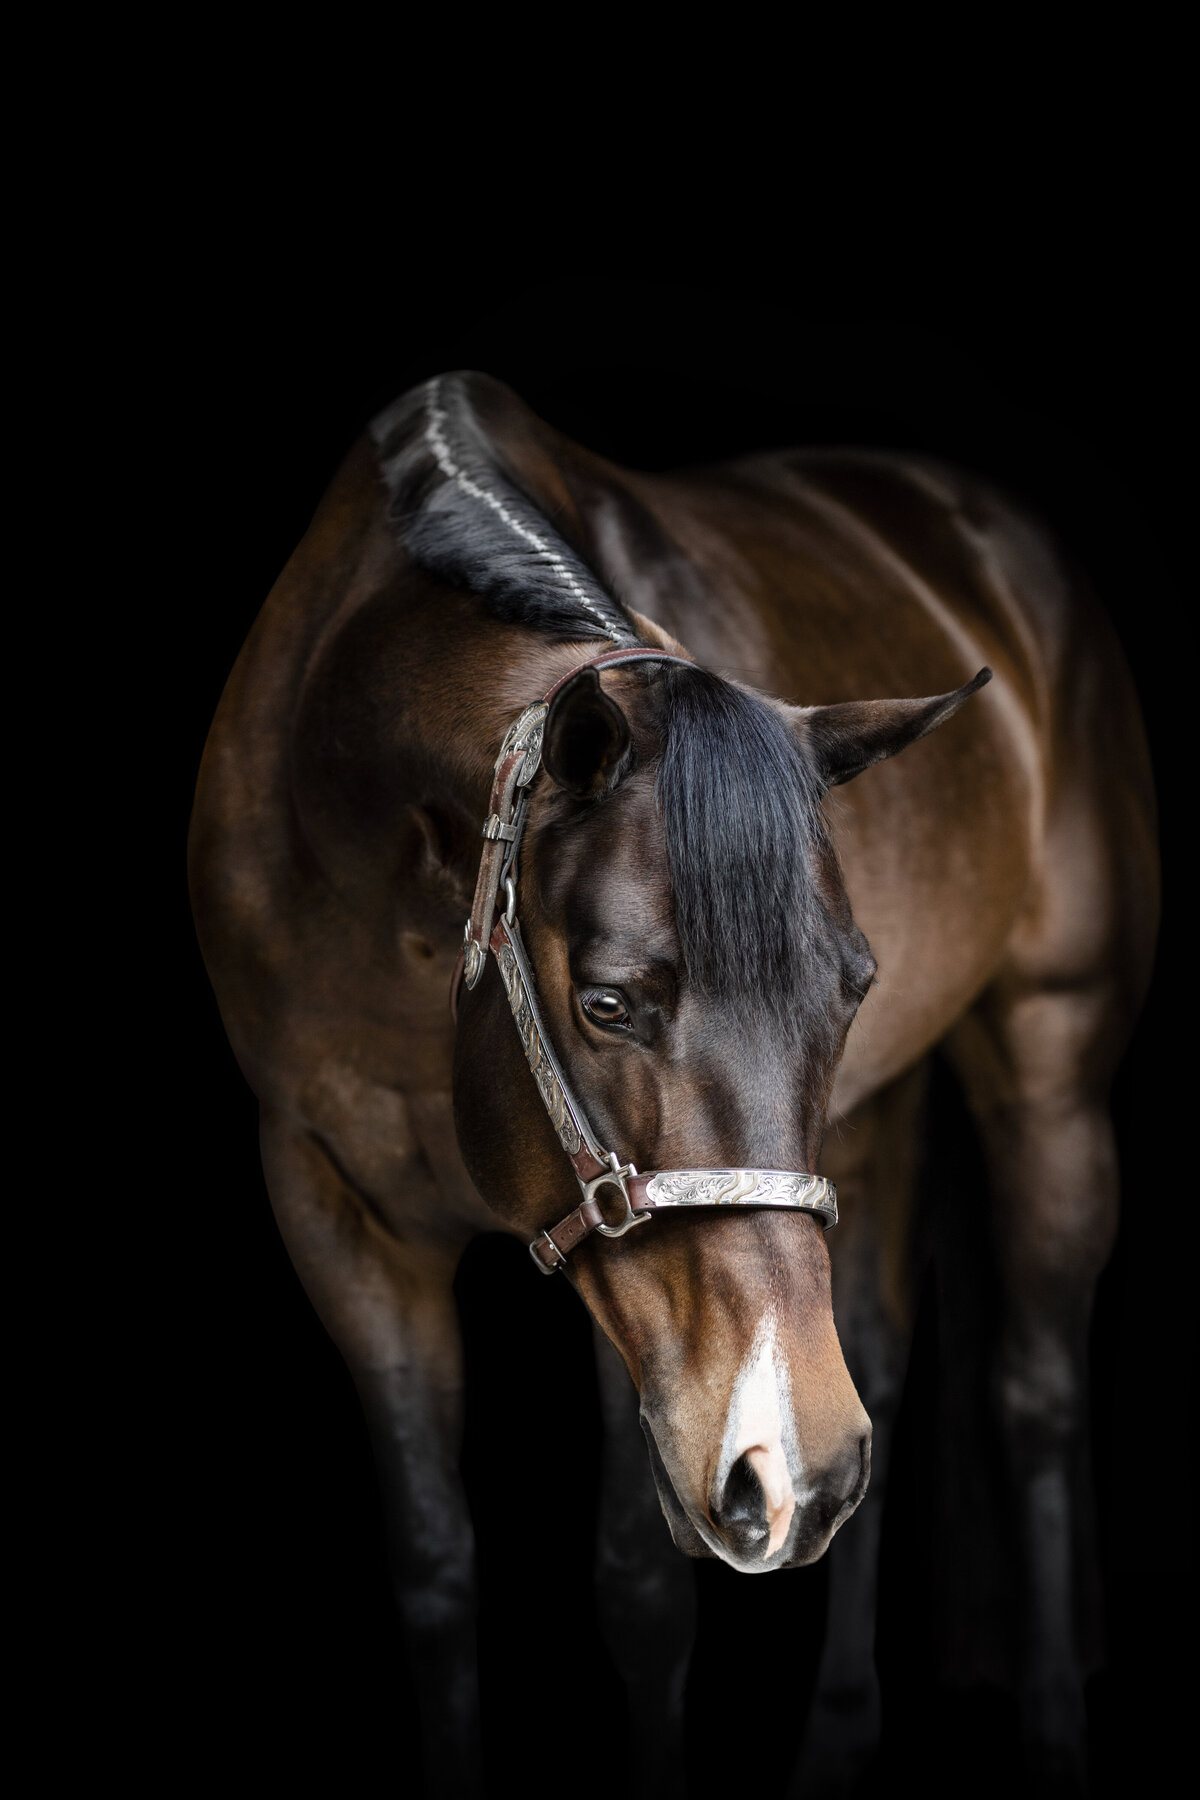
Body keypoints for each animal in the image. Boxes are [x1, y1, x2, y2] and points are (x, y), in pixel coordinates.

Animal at [189, 372, 1165, 1792]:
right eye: (607, 1003)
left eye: (848, 986)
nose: (802, 1463)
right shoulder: (333, 1206)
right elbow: (433, 1572)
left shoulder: (646, 1314)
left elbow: (642, 1594)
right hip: (870, 1130)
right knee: (886, 1352)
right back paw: (841, 1725)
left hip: (1050, 1066)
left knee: (1034, 1390)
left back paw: (1046, 1725)